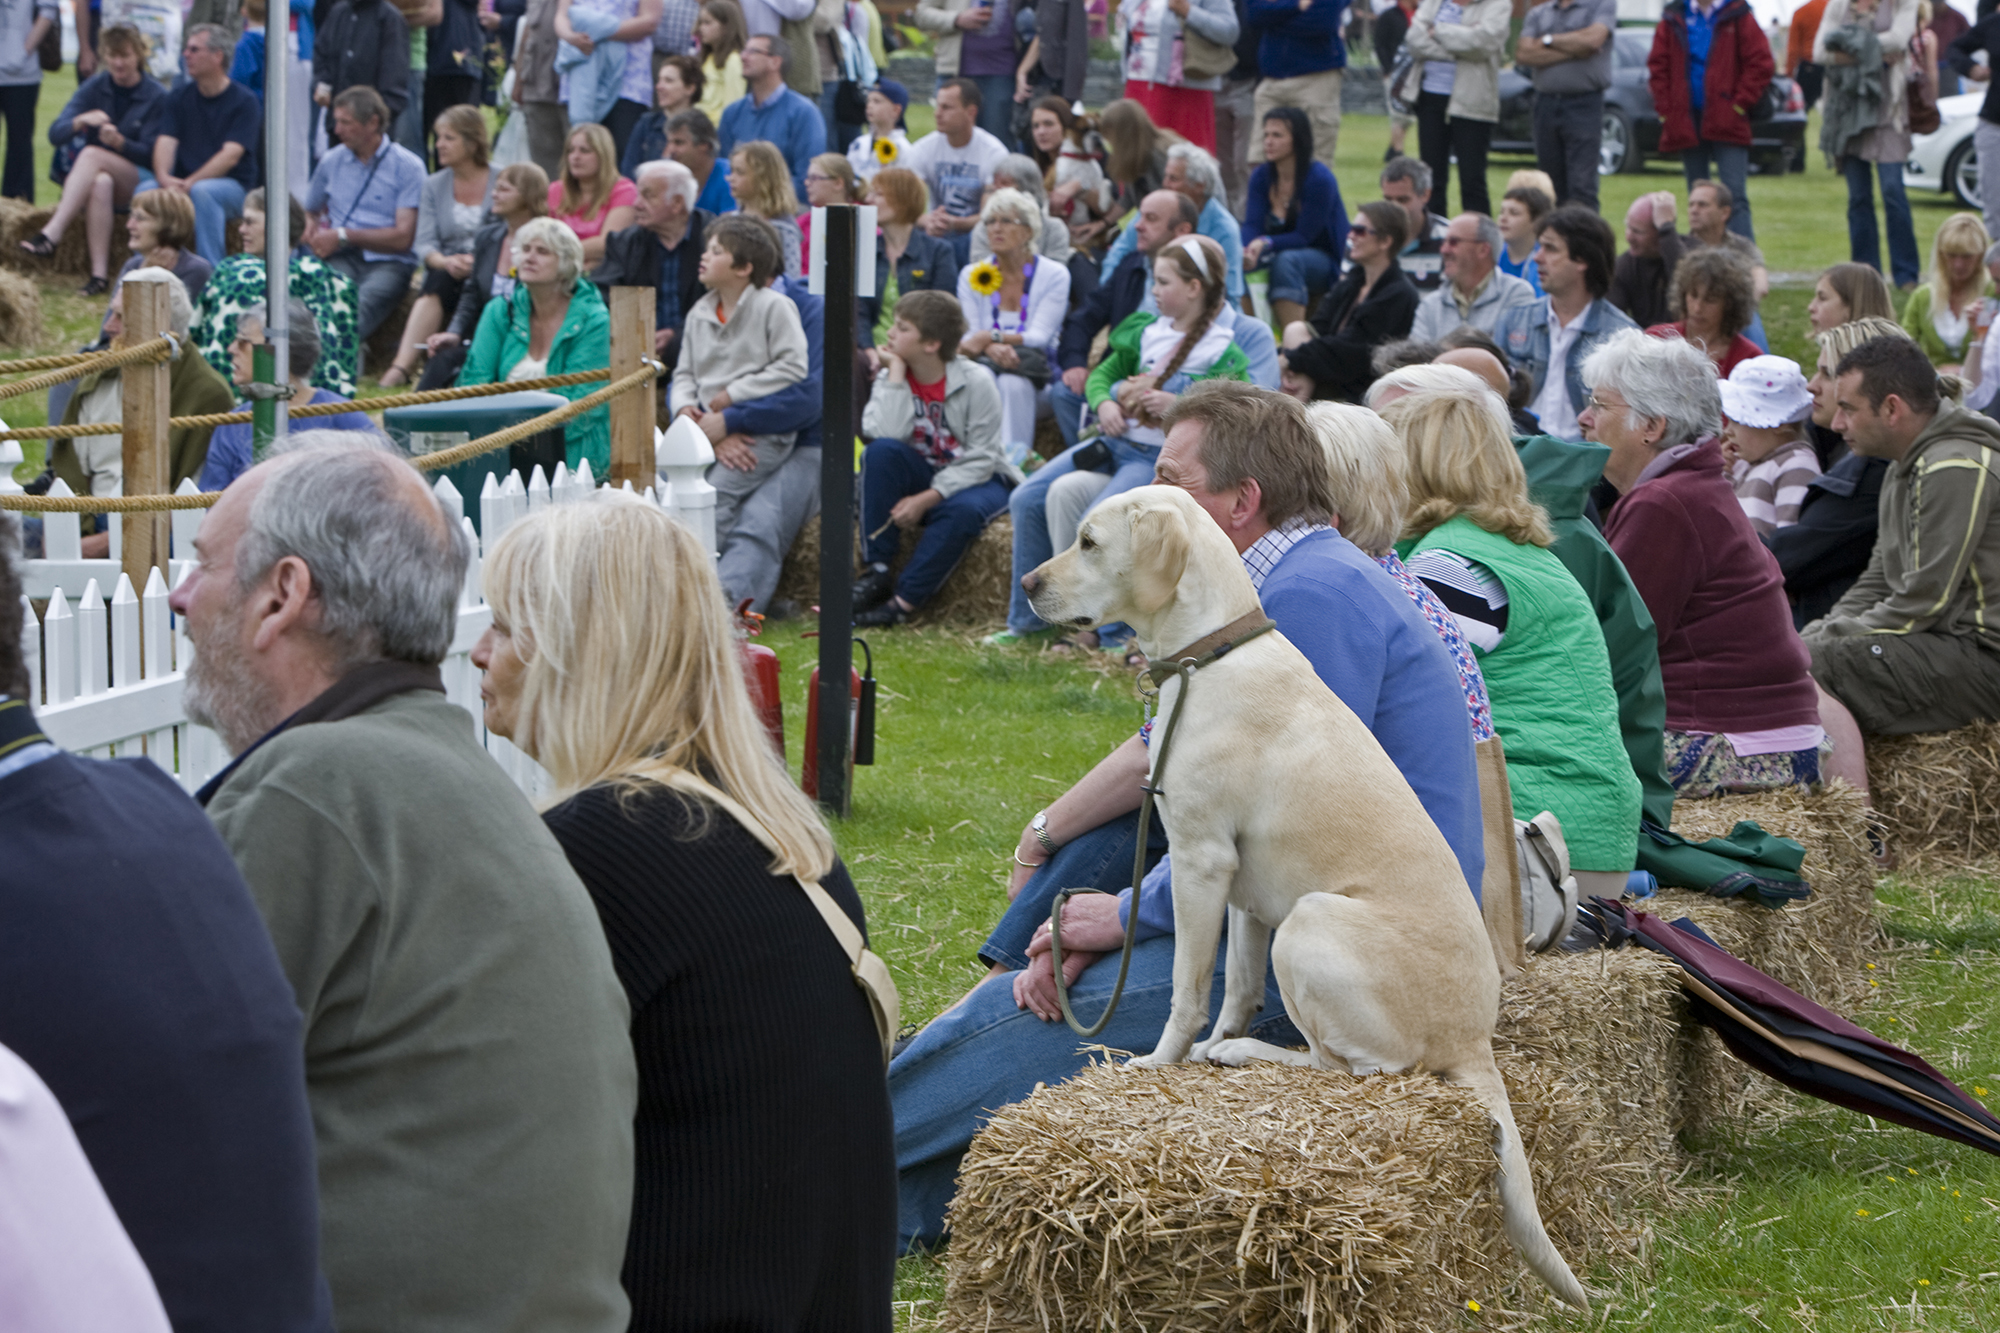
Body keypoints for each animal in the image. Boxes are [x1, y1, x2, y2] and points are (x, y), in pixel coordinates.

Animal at [1024, 488, 1584, 1304]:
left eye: (1090, 542)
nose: (1029, 584)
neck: (1212, 653)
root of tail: (1474, 1039)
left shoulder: (1198, 860)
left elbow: (1187, 993)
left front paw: (1161, 1063)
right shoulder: (1240, 894)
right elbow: (1234, 988)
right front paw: (1202, 1049)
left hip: (1311, 921)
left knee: (1346, 1069)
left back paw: (1246, 1054)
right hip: (1287, 917)